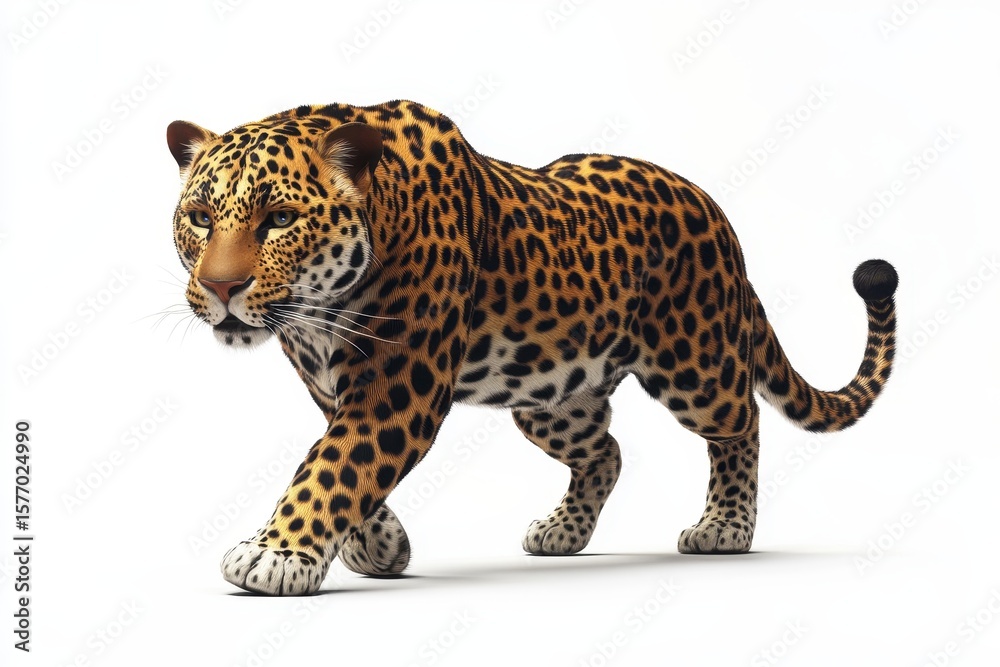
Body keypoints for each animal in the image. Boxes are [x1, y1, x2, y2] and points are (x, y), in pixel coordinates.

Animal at [165, 99, 897, 596]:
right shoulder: (332, 387)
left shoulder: (398, 388)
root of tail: (716, 215)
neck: (317, 314)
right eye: (200, 218)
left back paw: (725, 527)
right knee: (607, 449)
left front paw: (276, 555)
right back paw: (563, 533)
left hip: (697, 362)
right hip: (549, 395)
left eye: (280, 219)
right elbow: (341, 463)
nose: (221, 287)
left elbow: (333, 466)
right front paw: (379, 546)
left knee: (740, 421)